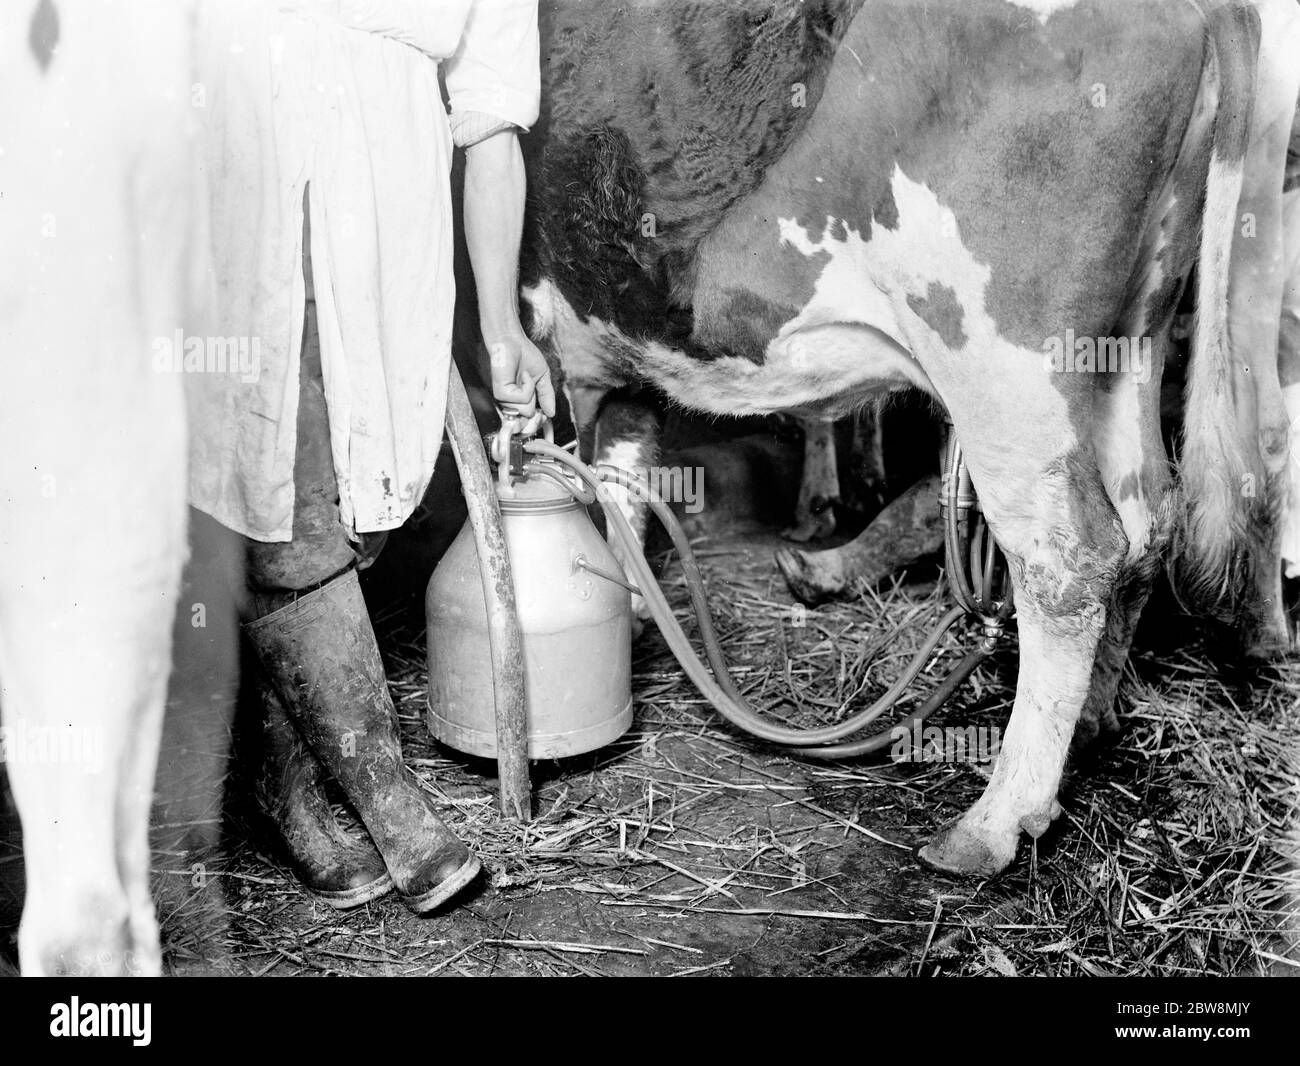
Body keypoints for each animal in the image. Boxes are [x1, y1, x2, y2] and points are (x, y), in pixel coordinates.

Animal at [517, 0, 1300, 873]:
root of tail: (1206, 9)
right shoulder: (619, 351)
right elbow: (623, 477)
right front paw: (630, 612)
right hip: (1136, 330)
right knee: (1153, 516)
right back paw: (1092, 724)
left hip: (1001, 352)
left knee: (1069, 556)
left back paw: (992, 821)